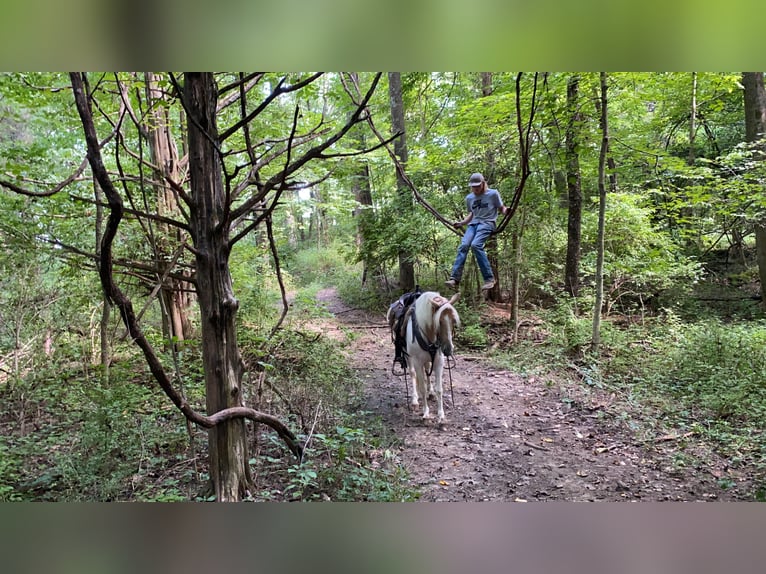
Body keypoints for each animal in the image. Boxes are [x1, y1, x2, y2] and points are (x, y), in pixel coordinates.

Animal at [402, 292, 462, 424]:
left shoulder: (439, 362)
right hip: (409, 357)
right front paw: (426, 413)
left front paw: (441, 415)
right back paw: (414, 400)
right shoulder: (417, 362)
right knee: (413, 373)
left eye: (453, 321)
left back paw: (431, 393)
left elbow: (439, 389)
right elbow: (422, 388)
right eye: (439, 321)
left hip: (429, 359)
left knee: (427, 371)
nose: (448, 349)